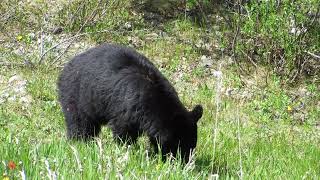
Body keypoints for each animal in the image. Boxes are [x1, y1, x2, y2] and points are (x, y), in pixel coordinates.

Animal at [57, 43, 202, 160]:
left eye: (192, 145)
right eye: (179, 145)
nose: (185, 162)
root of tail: (66, 66)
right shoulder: (127, 106)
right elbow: (123, 129)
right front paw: (127, 148)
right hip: (77, 94)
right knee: (79, 121)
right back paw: (79, 141)